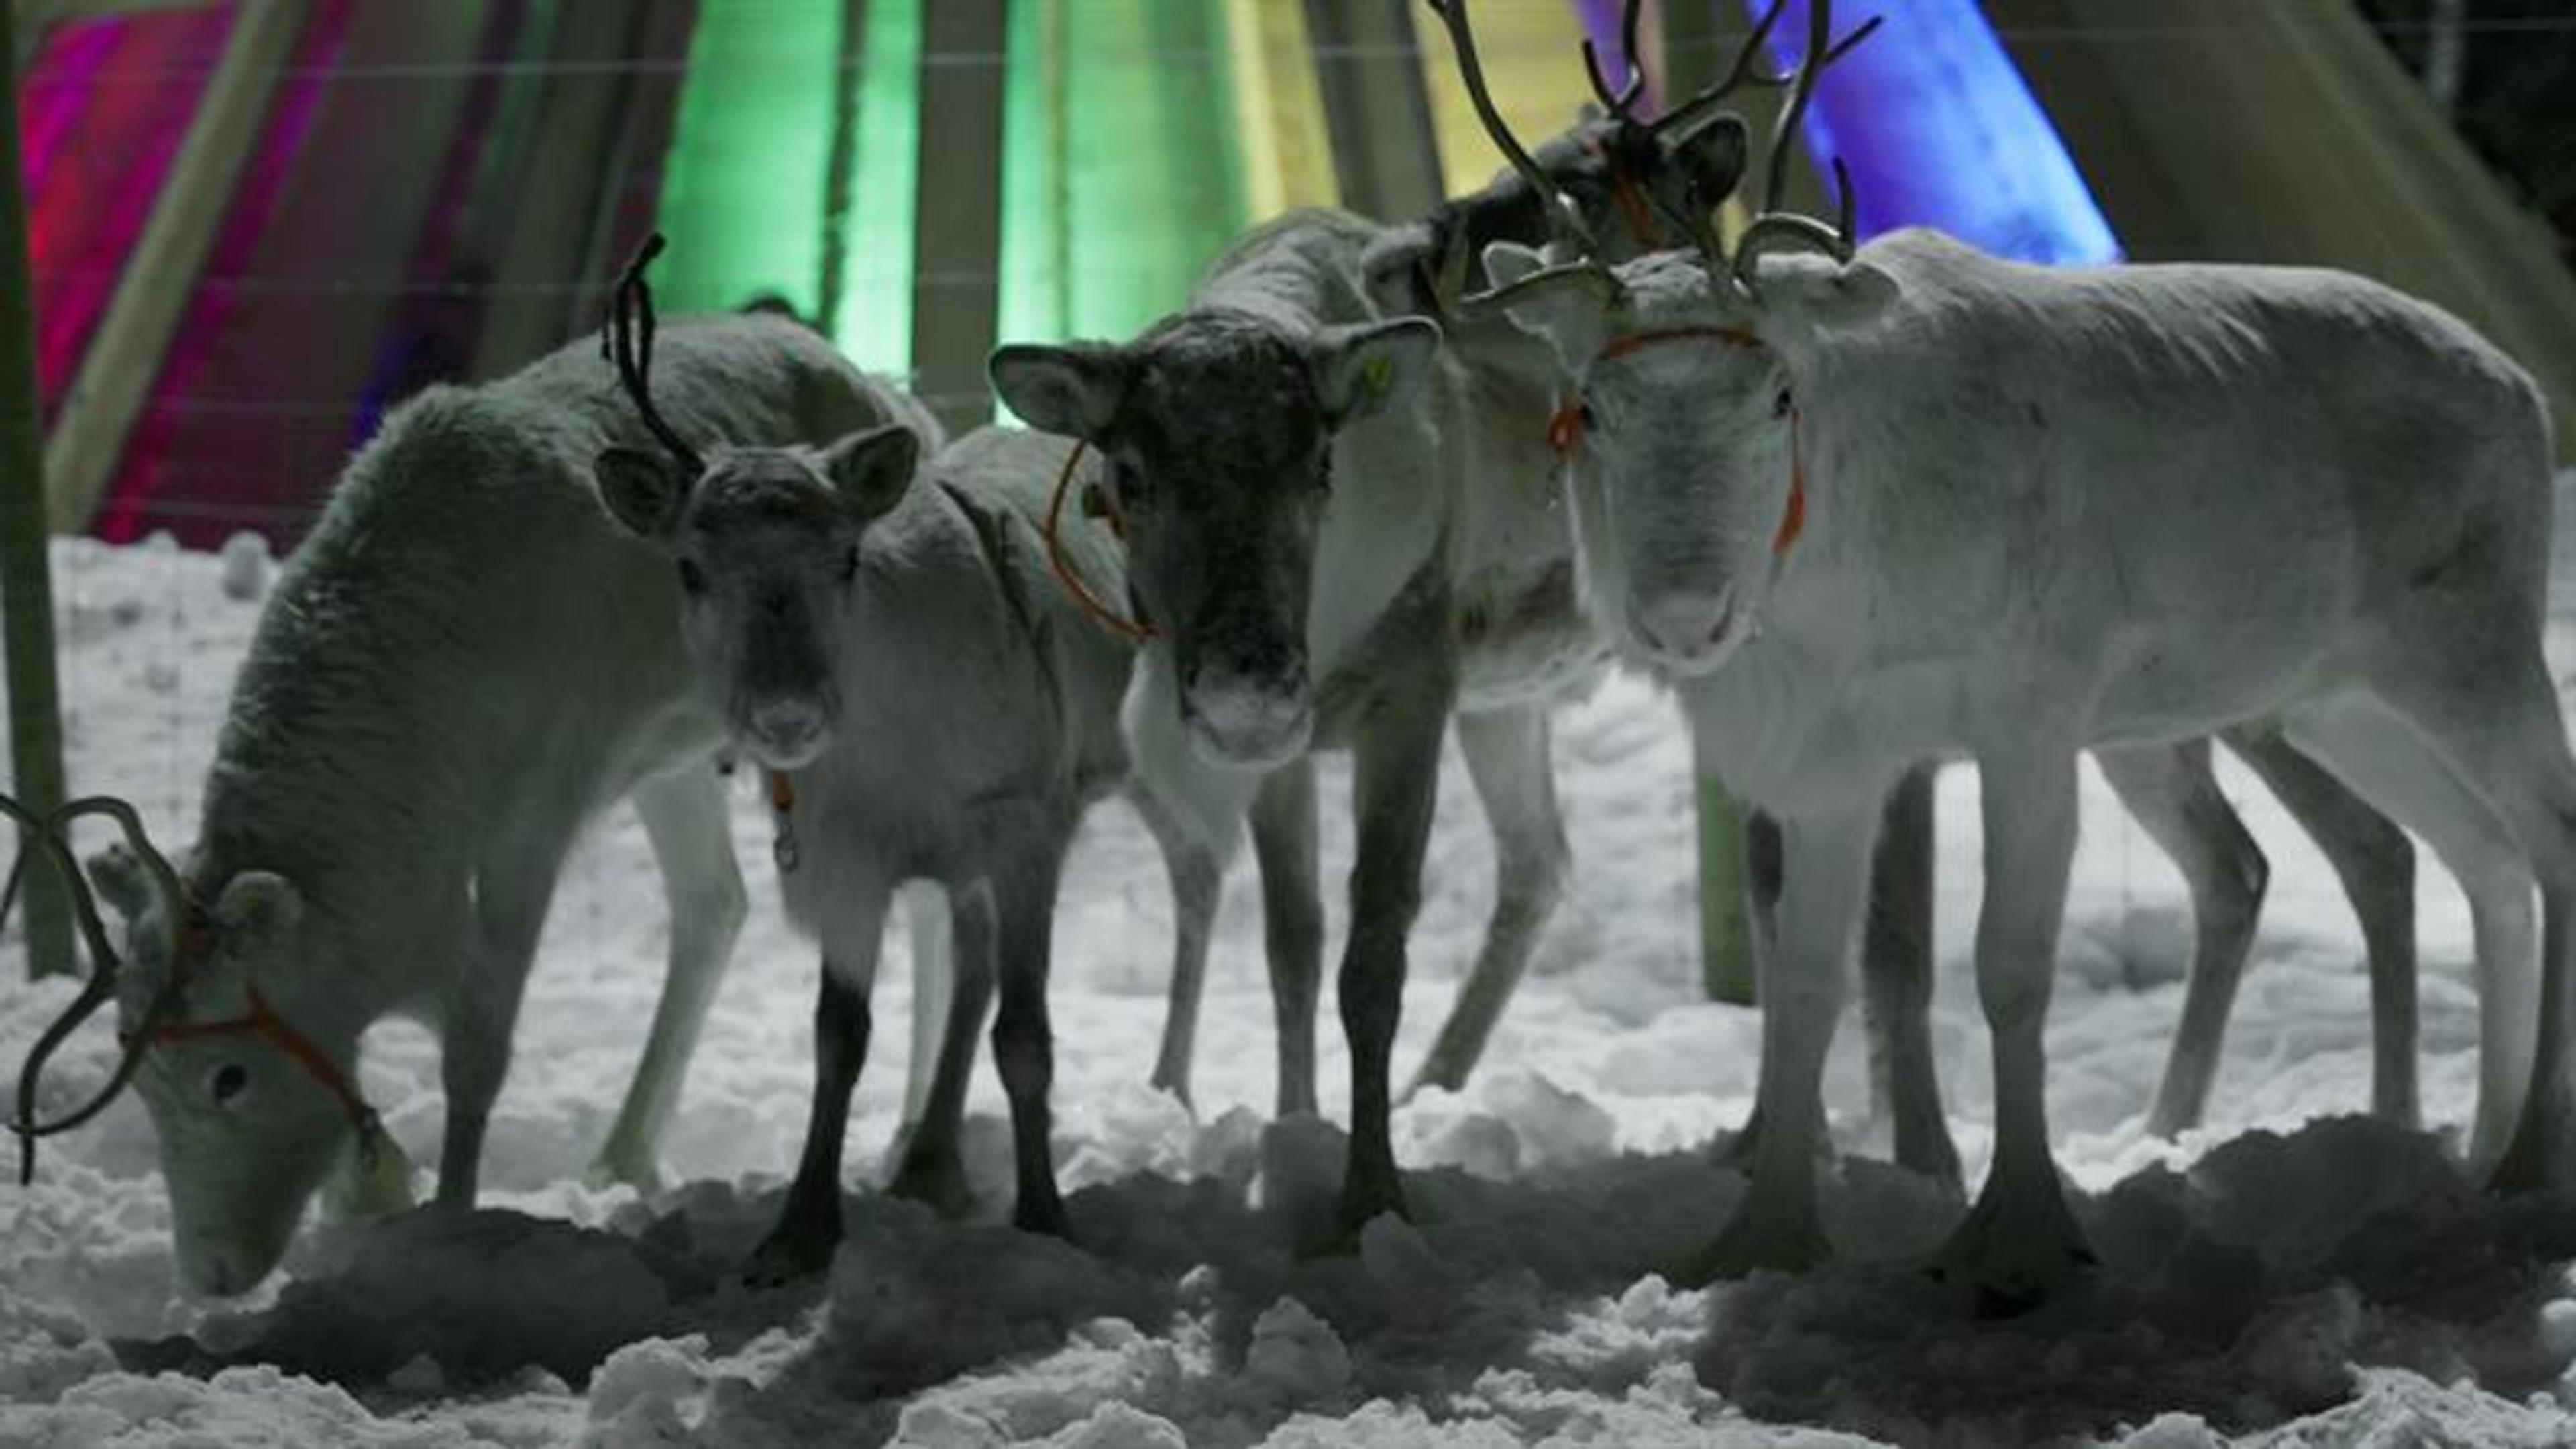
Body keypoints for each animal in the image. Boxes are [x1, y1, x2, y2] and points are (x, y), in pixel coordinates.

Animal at [10, 279, 931, 1296]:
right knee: (714, 905)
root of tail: (881, 387)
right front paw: (364, 1196)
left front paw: (449, 1225)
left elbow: (478, 1048)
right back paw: (622, 1157)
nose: (210, 1274)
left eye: (230, 1077)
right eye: (136, 1075)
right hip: (677, 760)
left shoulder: (538, 811)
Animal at [586, 252, 1229, 1282]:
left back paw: (1169, 1090)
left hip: (1138, 761)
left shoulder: (1024, 822)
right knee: (970, 956)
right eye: (689, 567)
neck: (900, 741)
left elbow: (1027, 1035)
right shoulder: (846, 856)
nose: (787, 713)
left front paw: (1046, 1219)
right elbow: (839, 1038)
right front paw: (797, 1232)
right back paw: (927, 1160)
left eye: (846, 556)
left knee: (1195, 863)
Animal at [1461, 0, 2574, 1304]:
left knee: (2548, 841)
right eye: (1591, 406)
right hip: (2339, 702)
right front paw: (1765, 1236)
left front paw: (2021, 1236)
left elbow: (2006, 967)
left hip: (2475, 653)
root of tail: (2523, 387)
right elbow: (1809, 980)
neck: (1836, 582)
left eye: (1778, 394)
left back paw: (2528, 1162)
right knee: (2480, 861)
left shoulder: (2026, 720)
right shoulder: (1834, 765)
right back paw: (2481, 1144)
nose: (1684, 614)